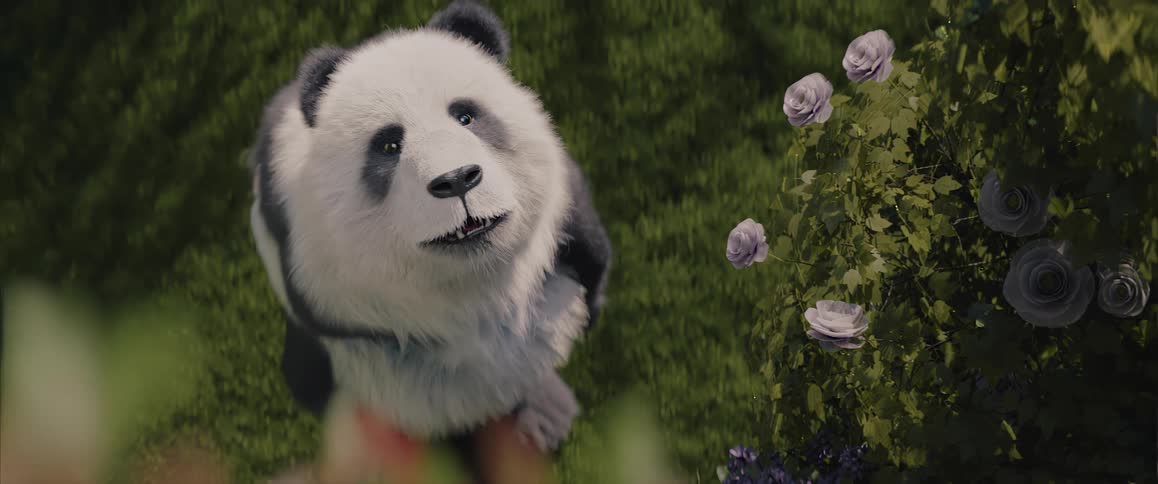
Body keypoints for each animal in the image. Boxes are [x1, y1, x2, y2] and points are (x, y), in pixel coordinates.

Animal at [246, 0, 611, 476]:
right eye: (389, 144)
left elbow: (582, 249)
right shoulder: (329, 286)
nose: (456, 180)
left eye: (465, 115)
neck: (474, 279)